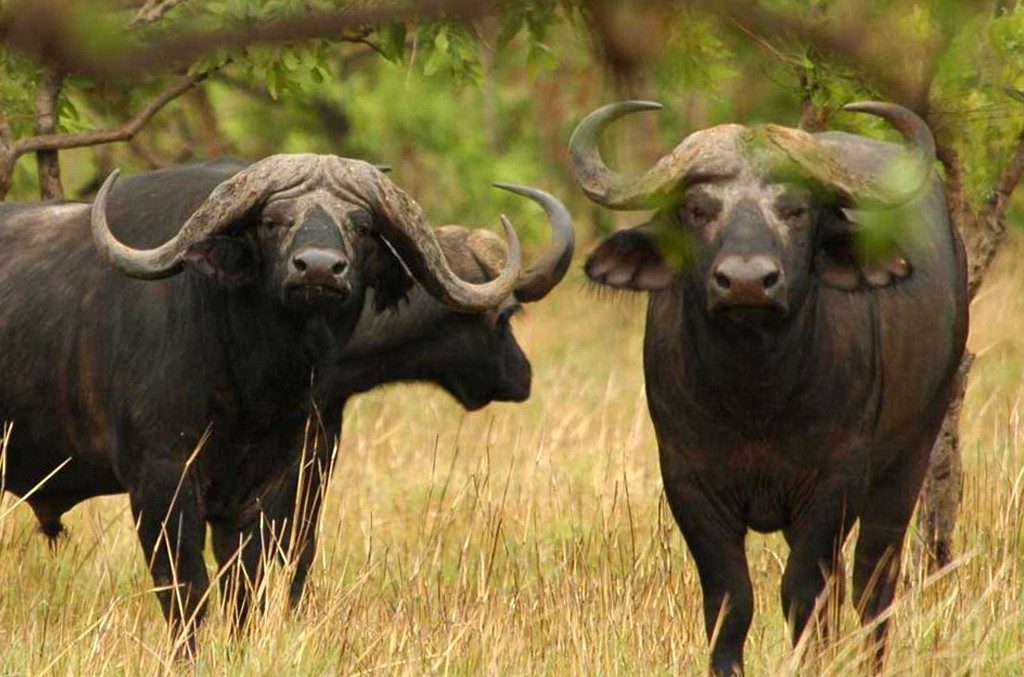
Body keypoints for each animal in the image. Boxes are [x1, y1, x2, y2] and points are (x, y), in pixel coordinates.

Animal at [569, 97, 966, 671]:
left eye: (796, 210)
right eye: (699, 209)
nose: (747, 283)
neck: (756, 396)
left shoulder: (836, 481)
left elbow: (803, 592)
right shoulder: (687, 482)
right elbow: (730, 599)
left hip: (912, 453)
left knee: (873, 581)